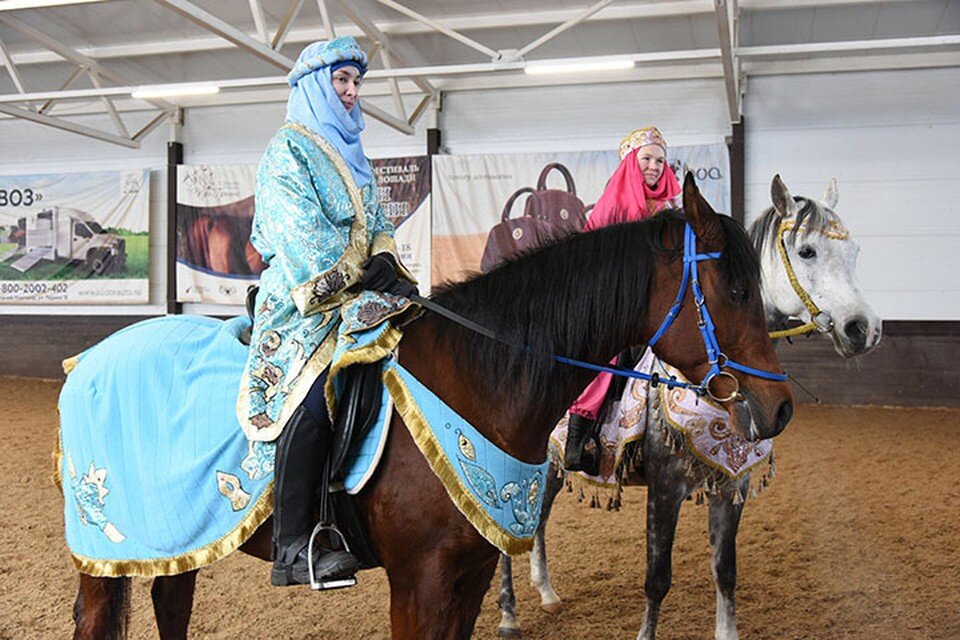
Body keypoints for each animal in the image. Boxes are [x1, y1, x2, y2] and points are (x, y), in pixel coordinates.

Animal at [63, 175, 792, 640]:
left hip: (177, 540)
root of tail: (87, 360)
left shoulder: (468, 574)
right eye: (734, 287)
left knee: (170, 601)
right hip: (103, 555)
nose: (779, 406)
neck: (481, 377)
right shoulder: (419, 581)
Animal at [498, 175, 880, 640]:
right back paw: (509, 613)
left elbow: (725, 572)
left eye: (855, 251)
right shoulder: (666, 488)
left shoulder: (732, 486)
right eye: (807, 251)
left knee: (538, 520)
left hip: (549, 465)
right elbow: (657, 579)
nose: (864, 329)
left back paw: (547, 592)